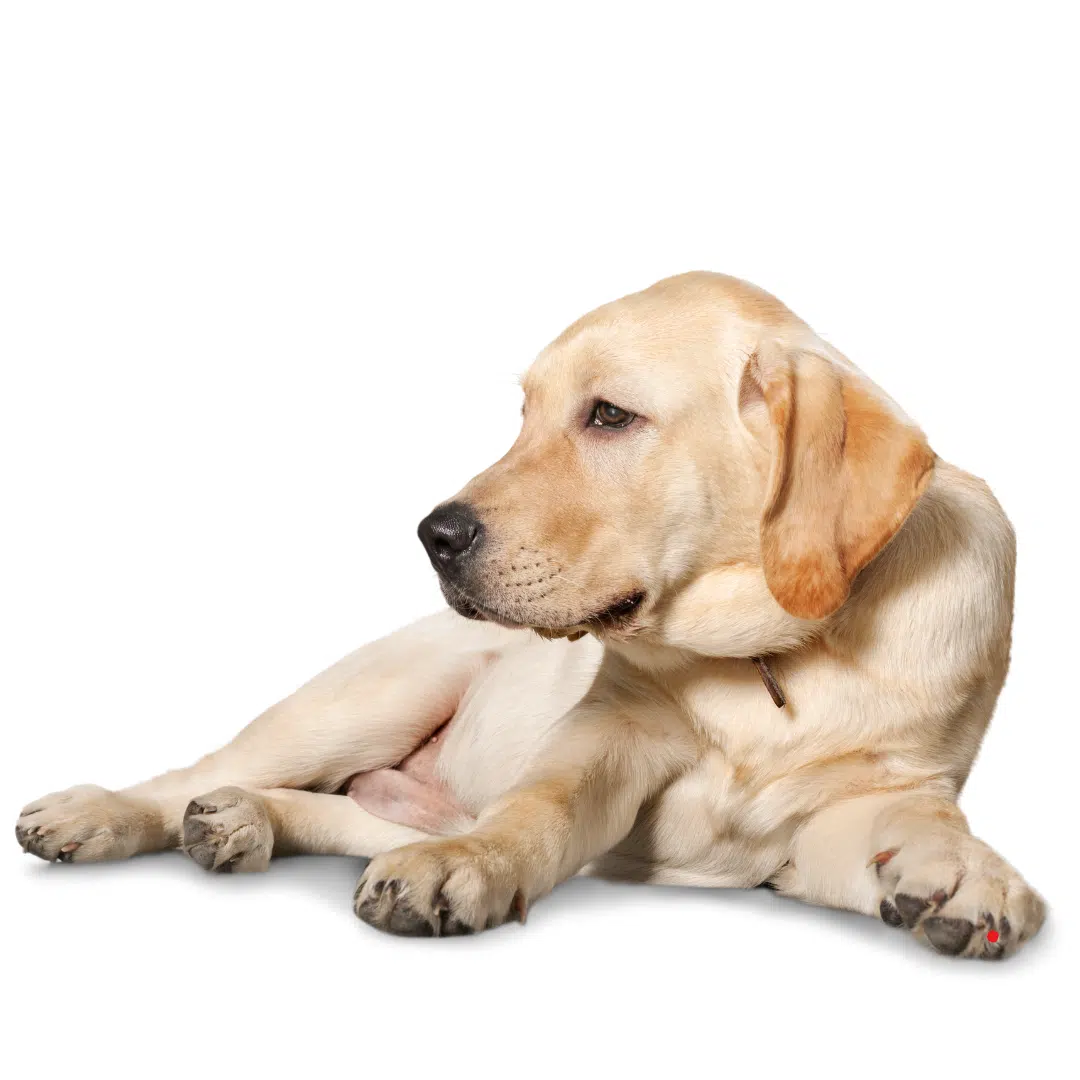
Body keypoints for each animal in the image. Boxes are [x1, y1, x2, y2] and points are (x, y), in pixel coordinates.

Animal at [15, 272, 1045, 957]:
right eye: (524, 414)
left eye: (610, 416)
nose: (433, 534)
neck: (775, 657)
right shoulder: (606, 736)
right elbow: (537, 807)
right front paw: (476, 863)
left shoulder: (854, 810)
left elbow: (921, 825)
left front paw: (971, 874)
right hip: (371, 695)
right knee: (201, 772)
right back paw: (104, 814)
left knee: (344, 816)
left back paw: (242, 824)